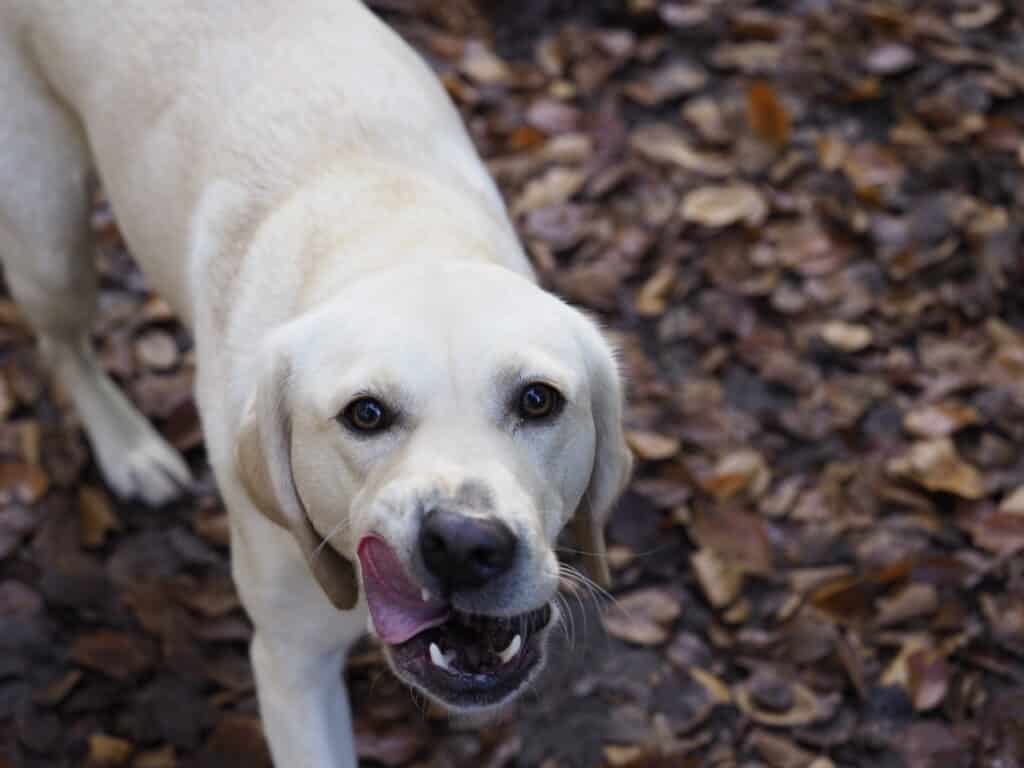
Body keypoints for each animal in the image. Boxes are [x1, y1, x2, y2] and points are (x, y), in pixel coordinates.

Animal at [0, 3, 630, 765]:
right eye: (365, 415)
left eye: (538, 400)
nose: (464, 545)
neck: (393, 233)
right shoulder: (290, 665)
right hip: (50, 237)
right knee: (63, 346)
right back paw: (129, 448)